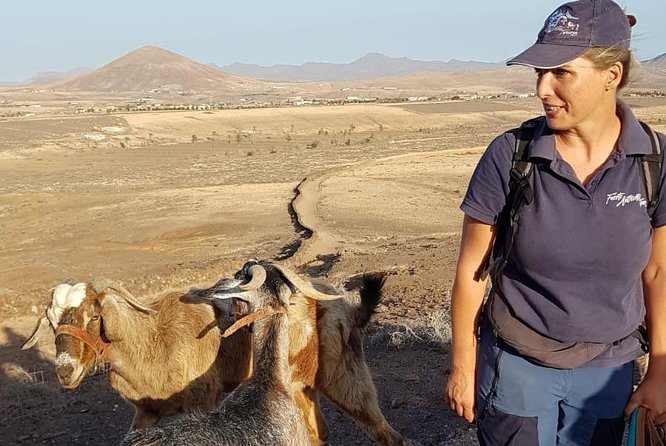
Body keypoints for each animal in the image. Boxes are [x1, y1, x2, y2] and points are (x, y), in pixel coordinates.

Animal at [23, 264, 408, 444]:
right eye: (51, 320)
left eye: (93, 315)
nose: (65, 370)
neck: (152, 340)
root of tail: (341, 300)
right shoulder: (146, 413)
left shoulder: (203, 401)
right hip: (302, 386)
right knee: (319, 433)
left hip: (345, 376)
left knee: (385, 432)